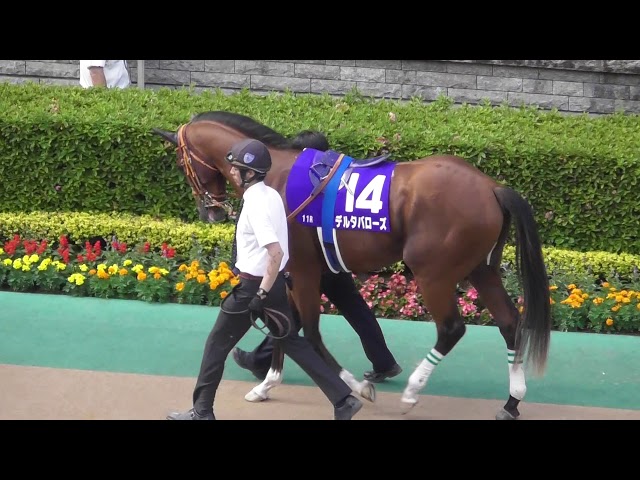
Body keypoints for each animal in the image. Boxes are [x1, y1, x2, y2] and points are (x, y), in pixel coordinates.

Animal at [152, 110, 552, 420]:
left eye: (181, 162)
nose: (211, 211)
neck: (275, 175)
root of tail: (492, 188)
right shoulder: (292, 272)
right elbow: (288, 327)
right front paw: (267, 383)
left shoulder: (303, 270)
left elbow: (310, 332)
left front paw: (356, 388)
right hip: (481, 269)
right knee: (510, 323)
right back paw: (512, 401)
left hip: (434, 273)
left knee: (452, 328)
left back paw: (412, 391)